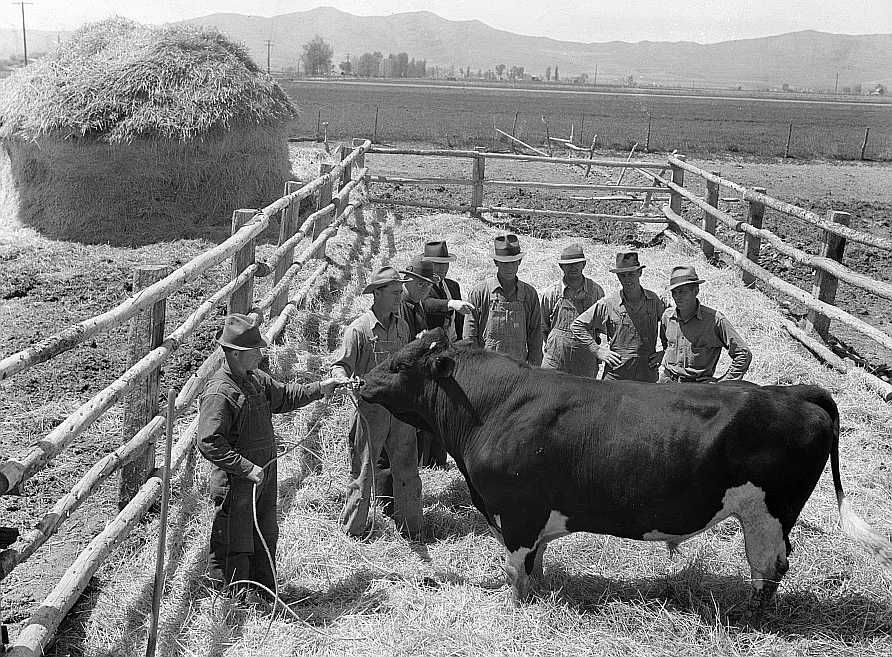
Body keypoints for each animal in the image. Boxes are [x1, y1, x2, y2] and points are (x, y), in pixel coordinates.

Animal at [358, 330, 892, 604]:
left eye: (401, 364)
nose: (362, 381)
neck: (494, 406)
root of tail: (794, 390)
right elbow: (534, 563)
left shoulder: (518, 513)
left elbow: (516, 569)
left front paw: (518, 605)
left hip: (769, 512)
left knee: (770, 566)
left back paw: (748, 616)